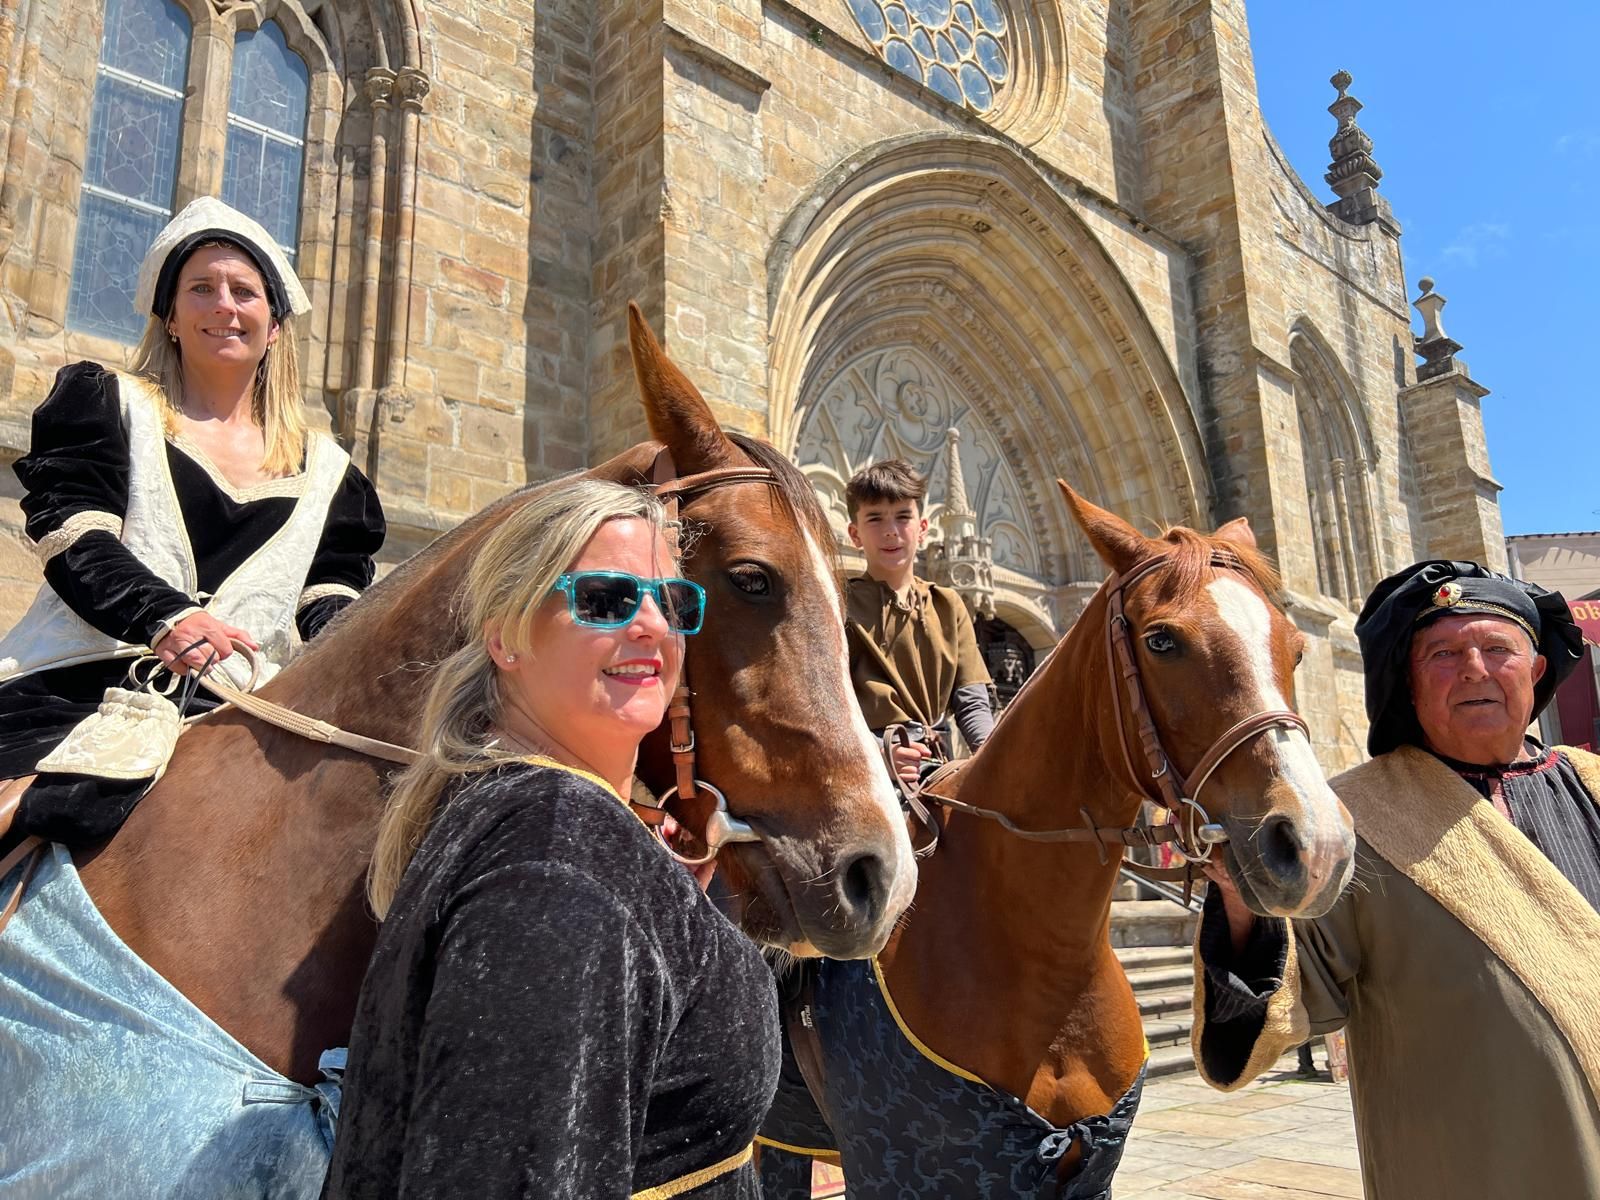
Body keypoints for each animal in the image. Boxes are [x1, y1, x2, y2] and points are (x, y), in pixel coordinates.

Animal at [758, 483, 1350, 1196]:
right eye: (1161, 640)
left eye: (1296, 647)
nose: (1318, 846)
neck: (1044, 957)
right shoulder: (904, 1168)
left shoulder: (1086, 1168)